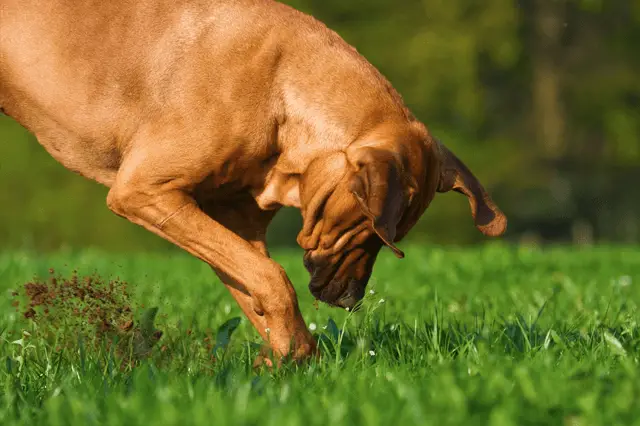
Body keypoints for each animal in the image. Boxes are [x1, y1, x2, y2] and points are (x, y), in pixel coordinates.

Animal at [2, 0, 508, 366]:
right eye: (368, 230)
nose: (349, 299)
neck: (283, 94)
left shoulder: (235, 226)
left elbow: (256, 287)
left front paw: (289, 361)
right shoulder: (146, 192)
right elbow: (274, 279)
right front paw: (294, 356)